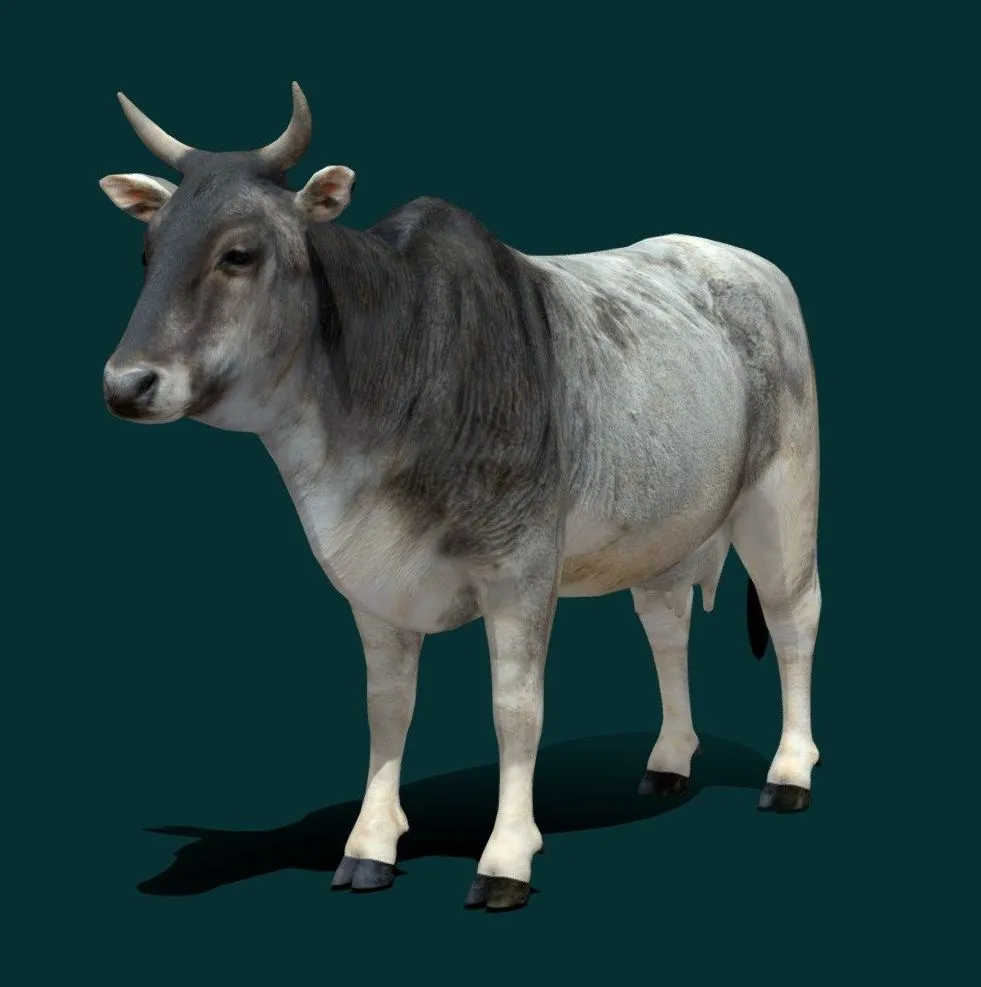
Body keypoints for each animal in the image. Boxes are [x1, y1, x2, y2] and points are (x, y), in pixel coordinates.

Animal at [100, 83, 822, 912]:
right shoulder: (372, 583)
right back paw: (668, 759)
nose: (126, 384)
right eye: (148, 252)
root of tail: (738, 258)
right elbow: (387, 706)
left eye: (238, 254)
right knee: (666, 626)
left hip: (781, 499)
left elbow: (515, 708)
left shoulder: (521, 569)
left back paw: (788, 771)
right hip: (665, 528)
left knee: (793, 617)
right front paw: (369, 845)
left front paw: (505, 856)